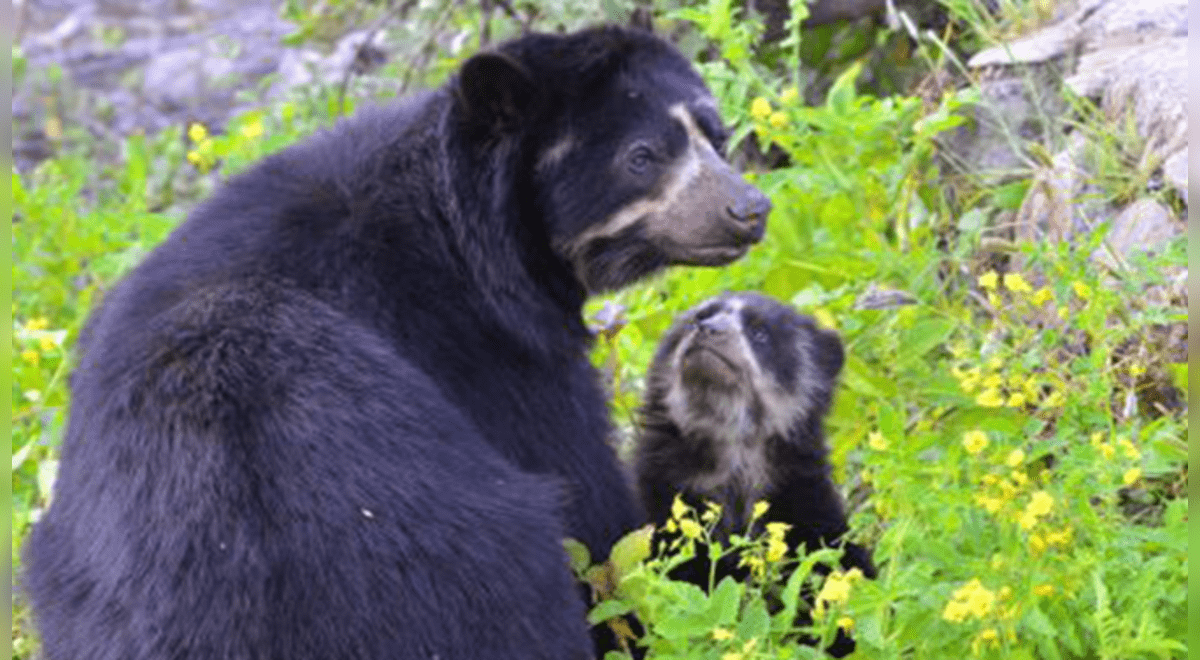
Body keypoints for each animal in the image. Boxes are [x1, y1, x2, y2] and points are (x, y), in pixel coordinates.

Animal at [25, 25, 768, 660]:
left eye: (714, 135)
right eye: (641, 157)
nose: (749, 209)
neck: (476, 234)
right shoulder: (486, 347)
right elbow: (592, 503)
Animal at [633, 294, 878, 657]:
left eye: (760, 333)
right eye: (700, 315)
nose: (706, 329)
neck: (732, 453)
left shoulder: (800, 501)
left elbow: (834, 564)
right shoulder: (661, 493)